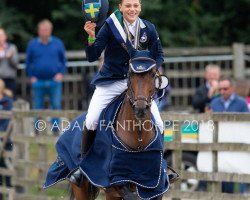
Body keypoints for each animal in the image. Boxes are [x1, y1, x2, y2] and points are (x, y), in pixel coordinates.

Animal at [69, 50, 170, 199]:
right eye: (130, 75)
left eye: (153, 75)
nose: (140, 109)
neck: (138, 134)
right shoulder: (117, 181)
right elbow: (129, 194)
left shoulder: (154, 184)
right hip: (82, 189)